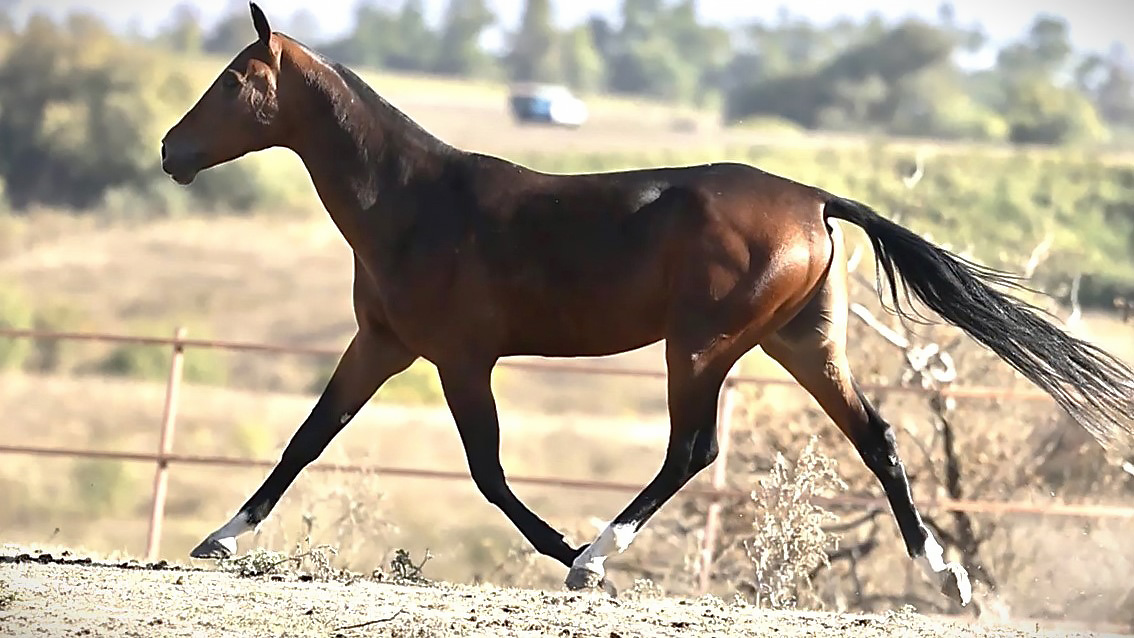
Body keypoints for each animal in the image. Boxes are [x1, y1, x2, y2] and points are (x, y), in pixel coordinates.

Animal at [159, 2, 1134, 607]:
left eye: (235, 79)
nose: (170, 149)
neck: (413, 202)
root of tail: (816, 200)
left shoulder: (460, 359)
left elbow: (488, 473)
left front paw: (568, 555)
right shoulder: (381, 345)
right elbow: (307, 438)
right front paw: (220, 538)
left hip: (700, 347)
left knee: (692, 450)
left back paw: (597, 555)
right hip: (801, 344)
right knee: (879, 439)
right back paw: (947, 578)